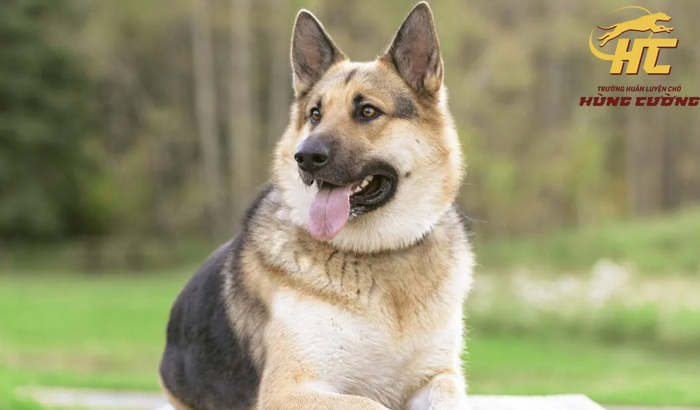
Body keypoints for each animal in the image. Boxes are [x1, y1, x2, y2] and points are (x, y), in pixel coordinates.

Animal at [159, 2, 474, 409]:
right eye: (314, 115)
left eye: (368, 111)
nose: (305, 157)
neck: (379, 254)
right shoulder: (288, 390)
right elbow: (370, 403)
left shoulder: (440, 376)